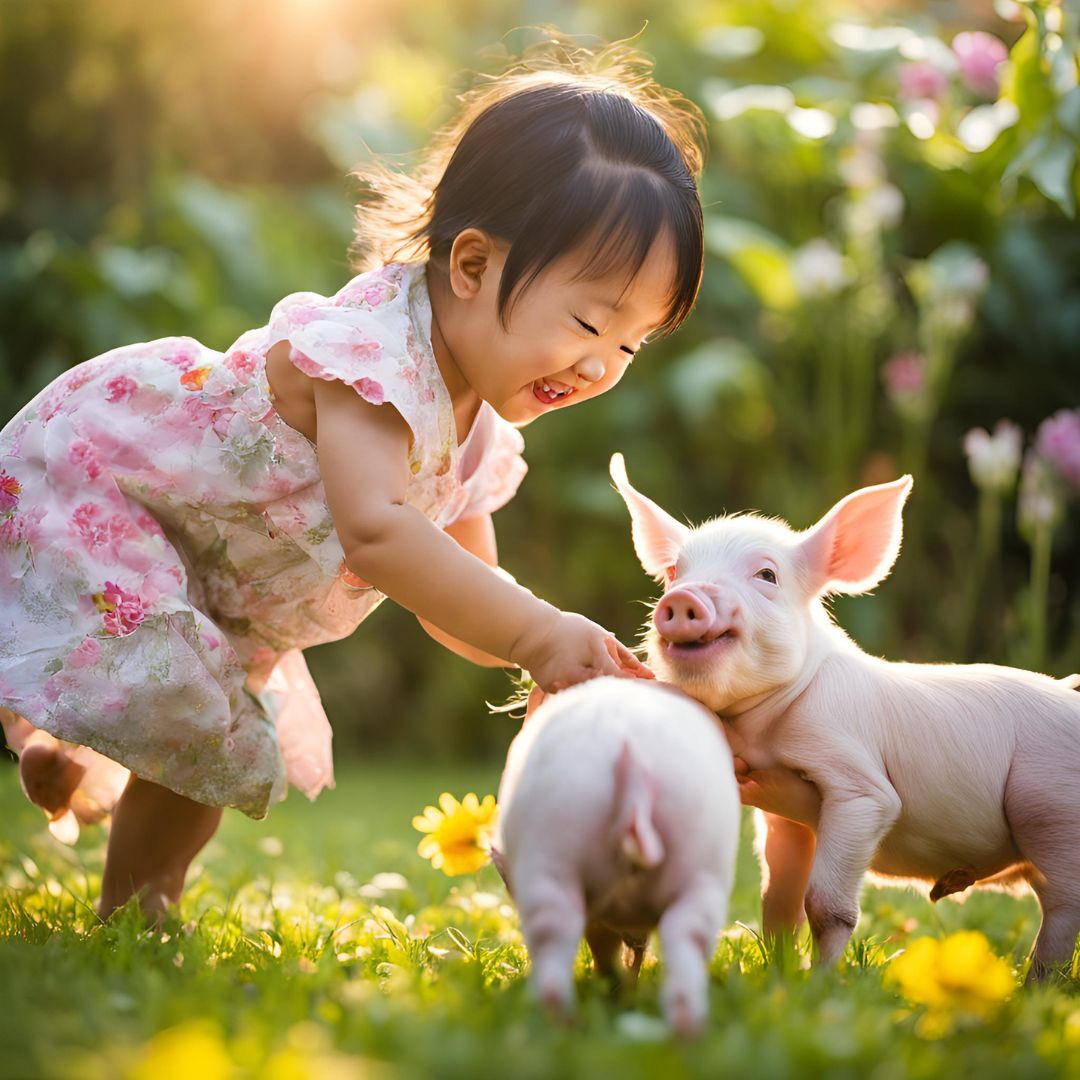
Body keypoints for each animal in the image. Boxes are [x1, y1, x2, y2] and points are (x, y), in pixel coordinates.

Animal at [610, 452, 1080, 979]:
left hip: (1052, 809)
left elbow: (826, 903)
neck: (762, 732)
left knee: (1063, 911)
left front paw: (822, 983)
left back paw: (1035, 987)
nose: (682, 598)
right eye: (674, 571)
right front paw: (780, 976)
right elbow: (779, 901)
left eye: (766, 576)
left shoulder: (860, 787)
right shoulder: (781, 818)